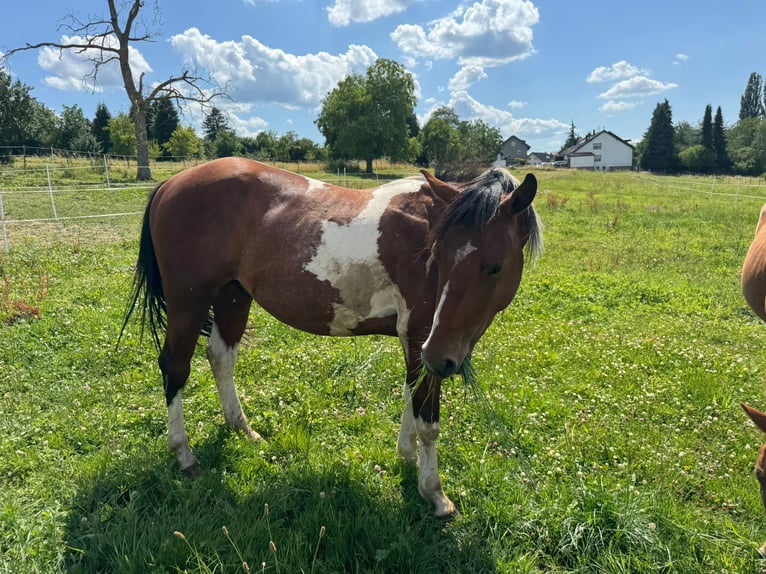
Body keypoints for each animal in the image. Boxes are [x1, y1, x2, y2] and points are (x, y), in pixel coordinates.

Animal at [120, 157, 542, 517]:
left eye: (495, 266)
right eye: (438, 256)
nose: (445, 359)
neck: (423, 229)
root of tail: (171, 183)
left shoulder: (419, 344)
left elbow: (410, 397)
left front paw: (406, 458)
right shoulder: (423, 337)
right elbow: (427, 419)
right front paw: (434, 494)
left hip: (233, 295)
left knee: (221, 357)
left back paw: (243, 429)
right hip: (188, 303)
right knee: (175, 366)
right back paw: (184, 456)